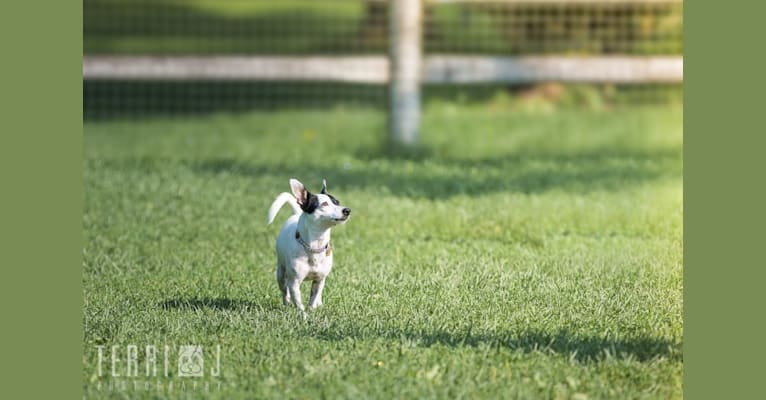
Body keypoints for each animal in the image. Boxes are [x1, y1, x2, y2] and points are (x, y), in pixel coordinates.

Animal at [268, 178, 352, 312]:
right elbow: (298, 303)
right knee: (284, 289)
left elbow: (313, 297)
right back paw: (286, 303)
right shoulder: (294, 283)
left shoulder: (319, 280)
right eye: (324, 204)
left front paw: (313, 309)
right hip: (281, 273)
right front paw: (303, 315)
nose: (347, 210)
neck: (315, 246)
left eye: (337, 202)